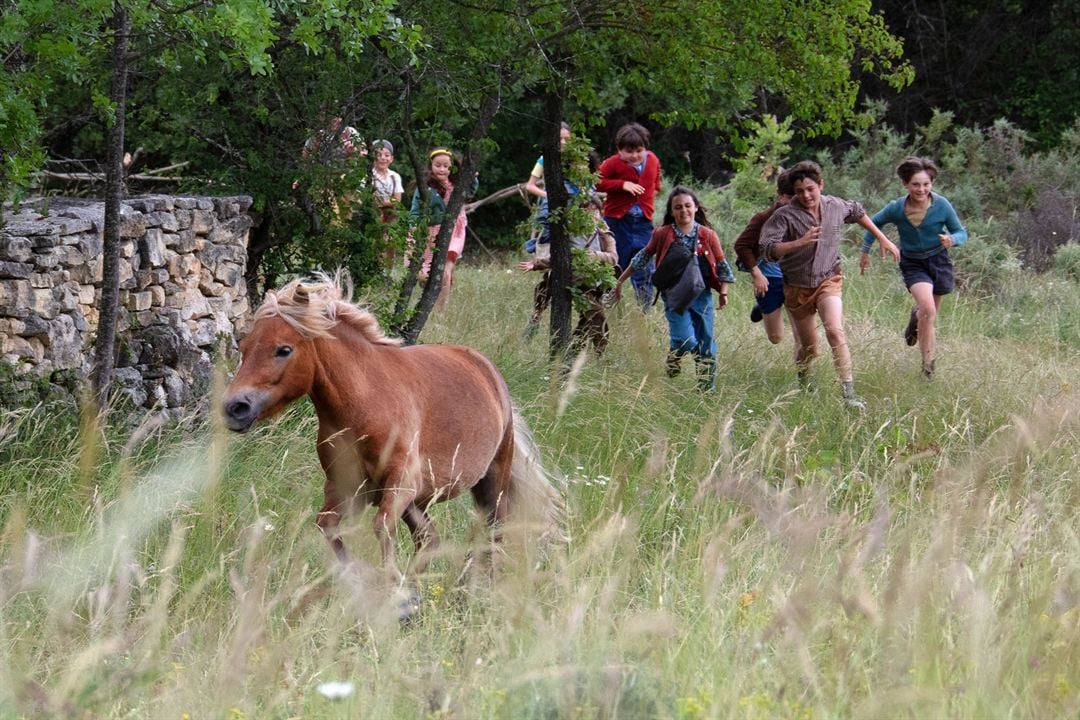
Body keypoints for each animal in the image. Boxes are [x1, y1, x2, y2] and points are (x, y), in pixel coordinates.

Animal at [217, 273, 557, 578]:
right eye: (245, 347)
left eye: (284, 349)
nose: (234, 408)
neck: (365, 404)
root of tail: (487, 370)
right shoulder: (346, 488)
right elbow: (327, 527)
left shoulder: (399, 483)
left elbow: (381, 528)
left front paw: (389, 584)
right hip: (419, 500)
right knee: (430, 538)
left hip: (491, 480)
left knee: (493, 533)